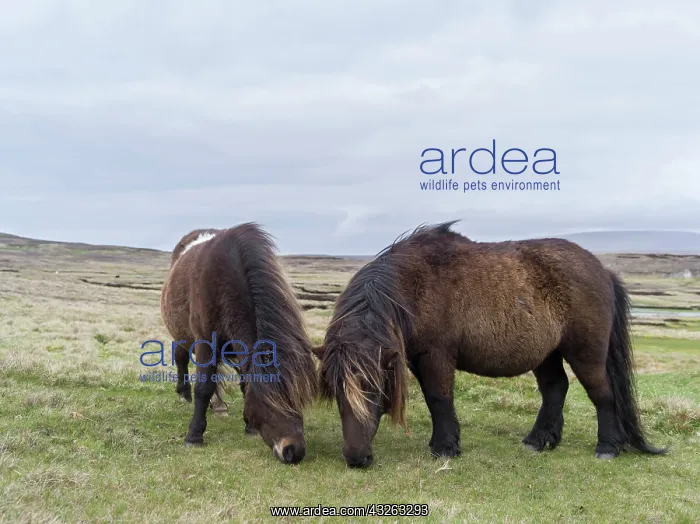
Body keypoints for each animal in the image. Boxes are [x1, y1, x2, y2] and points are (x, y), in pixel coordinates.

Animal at [160, 223, 317, 464]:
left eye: (298, 397)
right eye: (269, 401)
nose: (293, 451)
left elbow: (243, 384)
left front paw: (248, 426)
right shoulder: (205, 342)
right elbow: (204, 386)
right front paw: (194, 435)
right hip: (183, 334)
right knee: (181, 357)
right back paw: (184, 393)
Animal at [314, 221, 666, 468]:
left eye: (375, 390)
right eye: (334, 391)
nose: (356, 458)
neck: (414, 284)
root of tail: (603, 271)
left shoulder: (437, 355)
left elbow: (439, 398)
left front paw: (445, 448)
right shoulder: (416, 359)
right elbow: (432, 398)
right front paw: (442, 443)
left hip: (585, 353)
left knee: (602, 393)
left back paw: (607, 447)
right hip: (547, 354)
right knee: (555, 388)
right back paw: (538, 440)